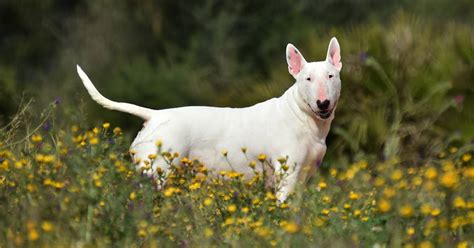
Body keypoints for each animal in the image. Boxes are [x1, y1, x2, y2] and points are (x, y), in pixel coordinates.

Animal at [76, 37, 342, 202]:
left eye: (331, 76)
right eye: (307, 79)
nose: (323, 103)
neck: (303, 117)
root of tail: (155, 115)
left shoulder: (304, 176)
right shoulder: (286, 173)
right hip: (157, 170)